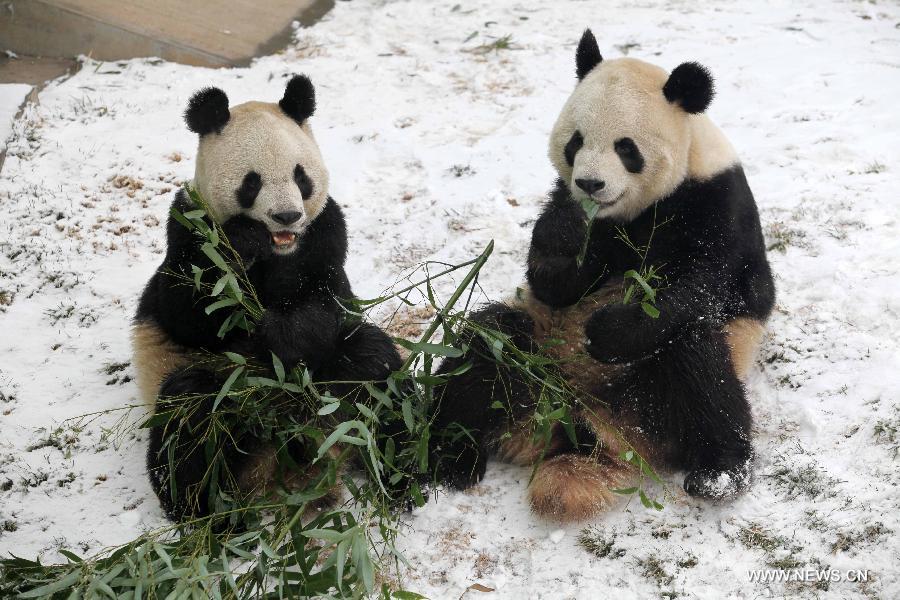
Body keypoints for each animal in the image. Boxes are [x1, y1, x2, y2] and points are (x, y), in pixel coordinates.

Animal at [132, 75, 400, 524]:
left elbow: (327, 305)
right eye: (252, 181)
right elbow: (186, 309)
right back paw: (208, 516)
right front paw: (242, 245)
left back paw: (407, 473)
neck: (278, 251)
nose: (287, 216)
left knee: (374, 365)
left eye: (300, 176)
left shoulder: (325, 234)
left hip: (340, 395)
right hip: (212, 395)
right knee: (191, 417)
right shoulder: (189, 231)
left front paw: (280, 331)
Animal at [432, 30, 776, 524]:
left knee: (696, 362)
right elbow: (554, 279)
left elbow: (707, 286)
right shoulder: (570, 204)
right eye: (575, 142)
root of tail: (580, 428)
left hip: (652, 410)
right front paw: (564, 235)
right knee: (486, 346)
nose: (590, 184)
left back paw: (719, 473)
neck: (632, 212)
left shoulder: (717, 202)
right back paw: (449, 454)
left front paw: (607, 332)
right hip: (536, 348)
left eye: (626, 148)